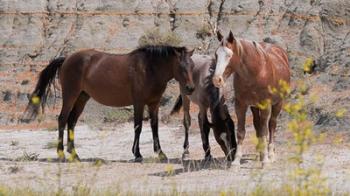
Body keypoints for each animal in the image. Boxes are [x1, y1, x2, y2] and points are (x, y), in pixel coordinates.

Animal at [23, 45, 196, 162]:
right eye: (181, 66)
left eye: (193, 66)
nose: (190, 88)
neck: (148, 68)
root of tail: (66, 59)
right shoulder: (138, 103)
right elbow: (138, 126)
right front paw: (137, 154)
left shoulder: (154, 103)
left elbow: (154, 127)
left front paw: (160, 153)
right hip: (70, 96)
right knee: (62, 119)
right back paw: (61, 154)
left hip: (82, 98)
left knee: (71, 122)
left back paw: (74, 154)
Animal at [213, 31, 290, 165]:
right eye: (216, 54)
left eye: (229, 55)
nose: (217, 79)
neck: (256, 73)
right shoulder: (241, 105)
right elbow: (241, 132)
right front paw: (236, 162)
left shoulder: (266, 106)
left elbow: (264, 131)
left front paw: (265, 161)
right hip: (254, 107)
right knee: (257, 124)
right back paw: (260, 154)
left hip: (278, 103)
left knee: (272, 125)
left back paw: (270, 154)